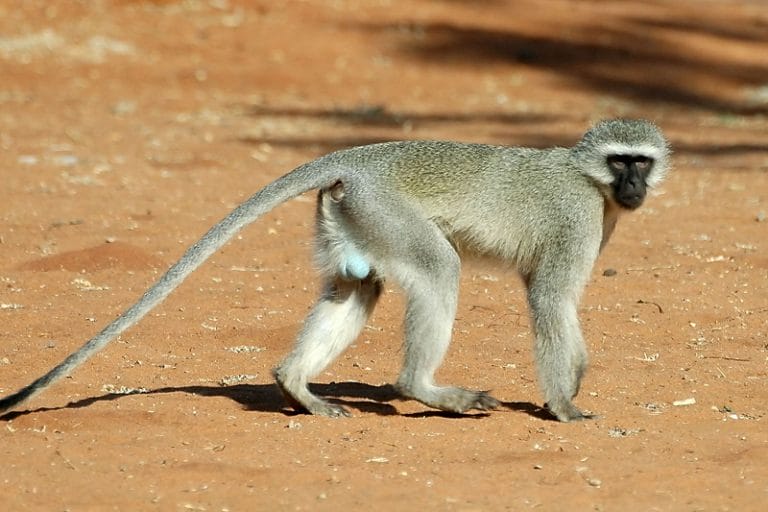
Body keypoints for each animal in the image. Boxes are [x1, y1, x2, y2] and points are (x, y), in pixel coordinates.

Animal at [0, 119, 670, 422]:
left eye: (642, 161)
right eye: (623, 161)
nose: (635, 187)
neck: (590, 180)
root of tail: (358, 156)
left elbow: (553, 301)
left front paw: (575, 380)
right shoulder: (576, 219)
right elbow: (551, 298)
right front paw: (563, 403)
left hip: (352, 214)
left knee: (358, 286)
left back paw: (296, 383)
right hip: (386, 209)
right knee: (438, 269)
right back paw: (422, 388)